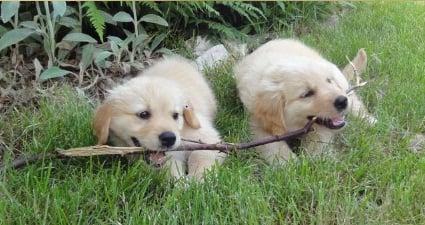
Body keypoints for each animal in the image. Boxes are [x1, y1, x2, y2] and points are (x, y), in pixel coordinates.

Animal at [93, 56, 225, 179]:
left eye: (175, 115)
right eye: (143, 114)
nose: (169, 138)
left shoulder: (206, 136)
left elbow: (202, 156)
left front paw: (198, 180)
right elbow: (168, 167)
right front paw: (181, 182)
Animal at [234, 38, 376, 162]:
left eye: (329, 81)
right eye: (307, 94)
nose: (342, 101)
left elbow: (318, 142)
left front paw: (315, 159)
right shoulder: (256, 125)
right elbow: (273, 146)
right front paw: (288, 163)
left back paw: (369, 120)